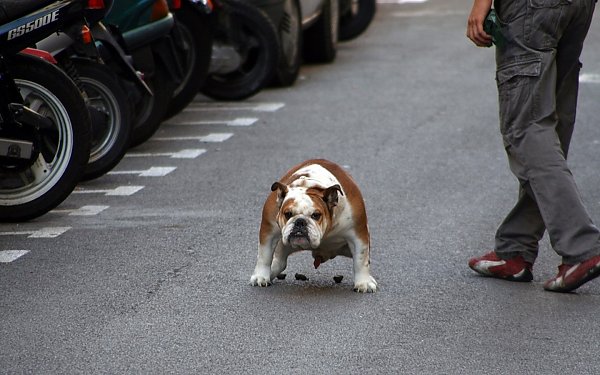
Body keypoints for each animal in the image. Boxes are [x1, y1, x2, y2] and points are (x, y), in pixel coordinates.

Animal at [251, 159, 378, 294]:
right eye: (288, 214)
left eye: (316, 215)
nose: (300, 221)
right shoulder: (268, 230)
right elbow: (264, 255)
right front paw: (260, 277)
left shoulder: (358, 235)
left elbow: (361, 260)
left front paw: (364, 283)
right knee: (280, 261)